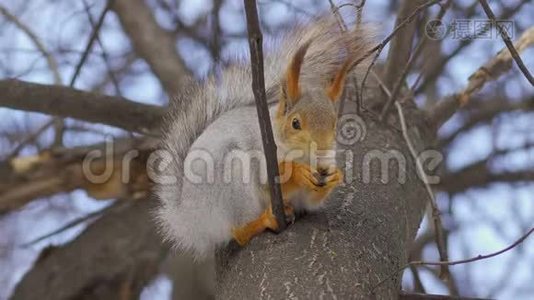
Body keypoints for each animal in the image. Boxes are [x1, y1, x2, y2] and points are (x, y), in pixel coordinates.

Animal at [155, 17, 372, 260]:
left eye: (334, 123)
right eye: (295, 123)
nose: (322, 150)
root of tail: (187, 221)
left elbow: (310, 201)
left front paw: (334, 176)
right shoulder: (261, 149)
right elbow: (267, 179)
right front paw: (297, 172)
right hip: (229, 181)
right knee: (238, 231)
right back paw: (264, 221)